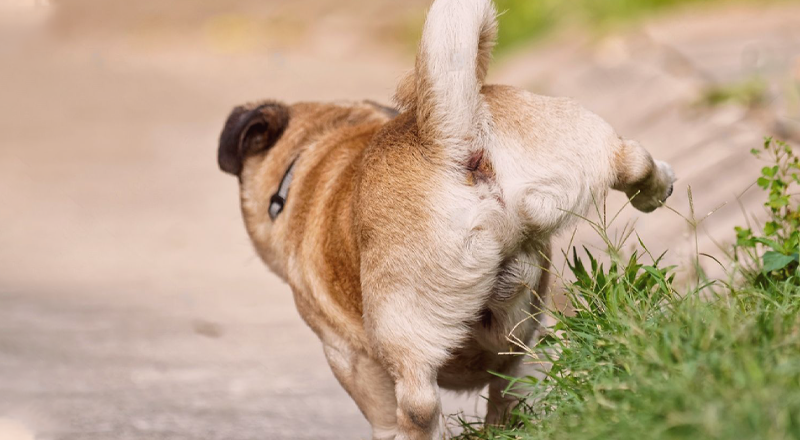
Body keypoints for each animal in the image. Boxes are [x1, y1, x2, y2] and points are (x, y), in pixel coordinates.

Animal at [216, 1, 672, 438]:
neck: (318, 148)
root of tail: (454, 141)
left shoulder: (348, 357)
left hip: (401, 323)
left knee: (419, 405)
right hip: (573, 144)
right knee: (631, 158)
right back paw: (655, 189)